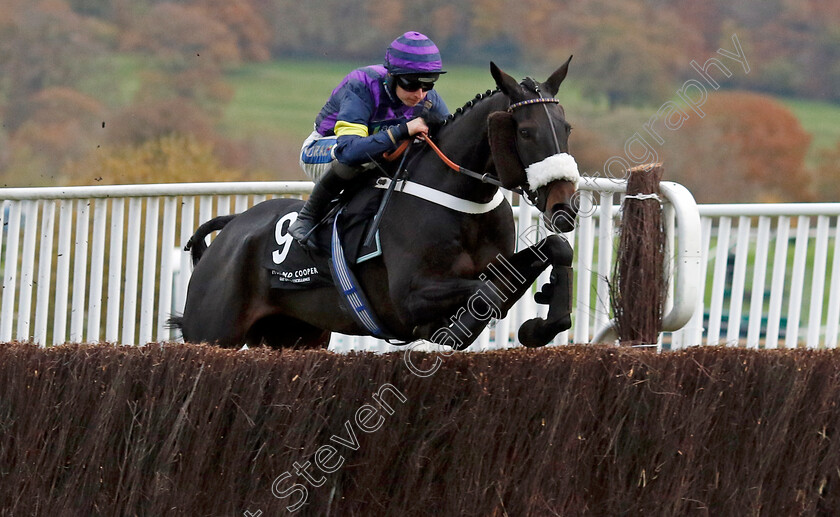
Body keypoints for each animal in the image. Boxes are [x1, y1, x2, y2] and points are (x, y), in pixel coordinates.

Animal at [174, 59, 580, 350]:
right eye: (525, 131)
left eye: (567, 128)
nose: (564, 206)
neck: (461, 202)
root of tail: (232, 226)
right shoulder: (408, 299)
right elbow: (486, 294)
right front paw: (459, 327)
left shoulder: (496, 264)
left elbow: (555, 250)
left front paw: (542, 324)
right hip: (211, 330)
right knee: (344, 157)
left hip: (296, 334)